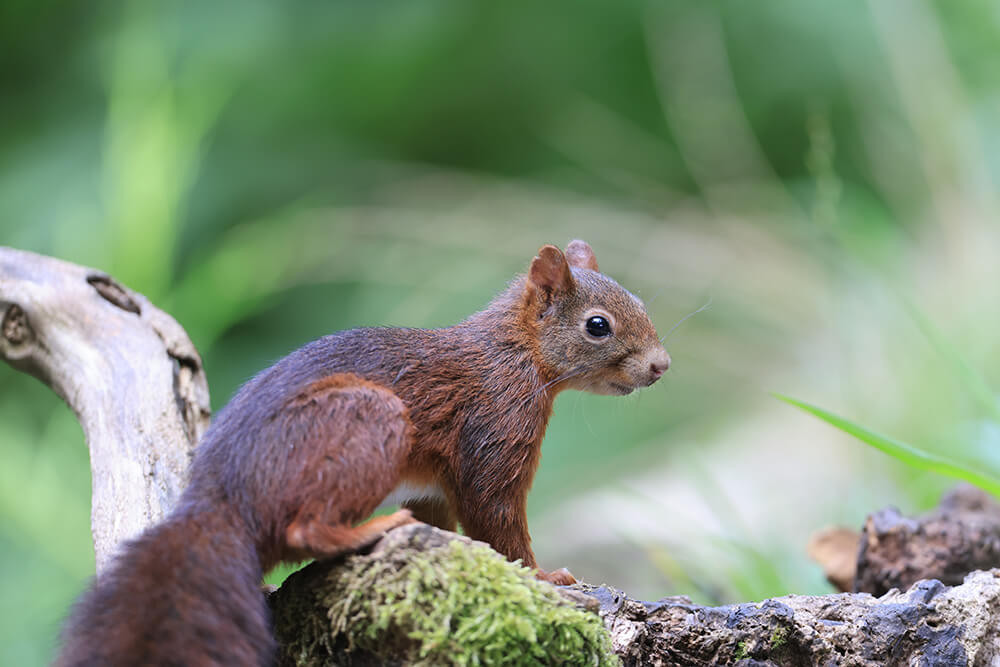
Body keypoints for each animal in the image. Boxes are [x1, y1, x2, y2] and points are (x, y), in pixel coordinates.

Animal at [52, 241, 664, 667]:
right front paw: (545, 578)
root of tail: (223, 498)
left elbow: (443, 516)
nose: (662, 365)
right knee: (304, 530)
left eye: (640, 301)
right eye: (598, 325)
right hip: (367, 420)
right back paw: (370, 529)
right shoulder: (493, 431)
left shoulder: (431, 487)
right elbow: (496, 519)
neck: (516, 353)